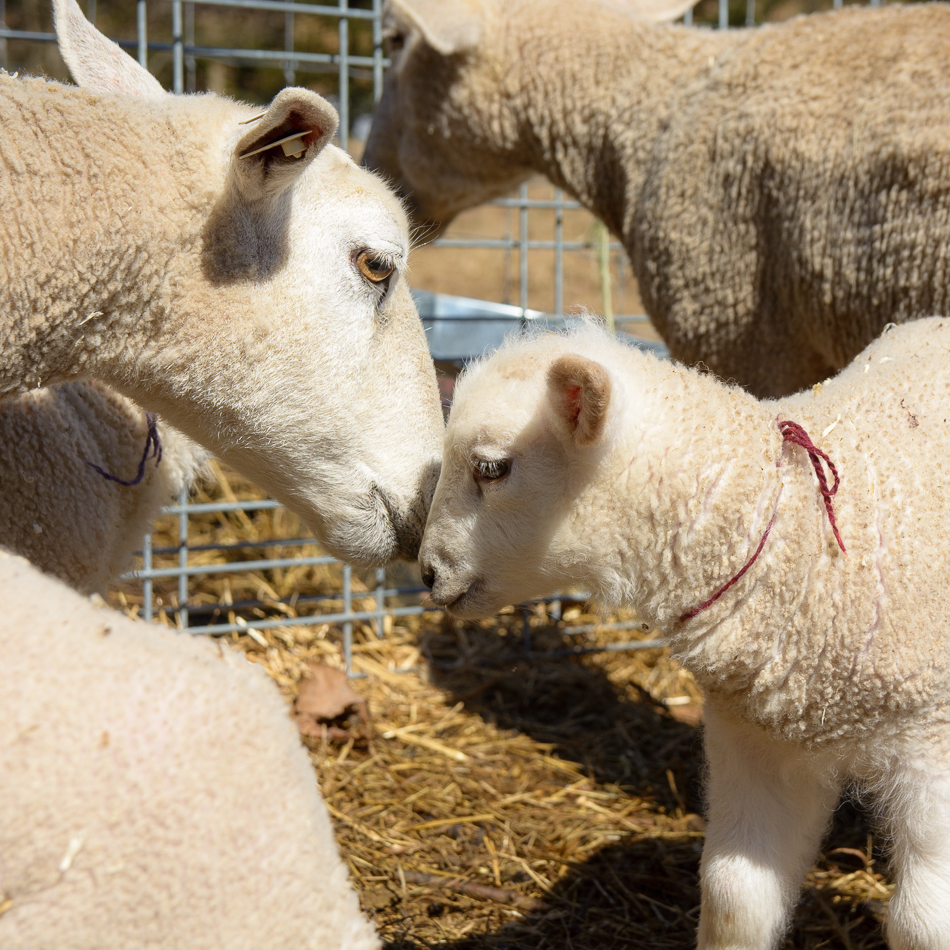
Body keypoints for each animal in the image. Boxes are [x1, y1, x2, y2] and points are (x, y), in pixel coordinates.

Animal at [418, 317, 950, 949]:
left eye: (491, 468)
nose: (426, 573)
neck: (797, 534)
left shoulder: (932, 743)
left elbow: (923, 922)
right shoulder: (756, 741)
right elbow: (735, 894)